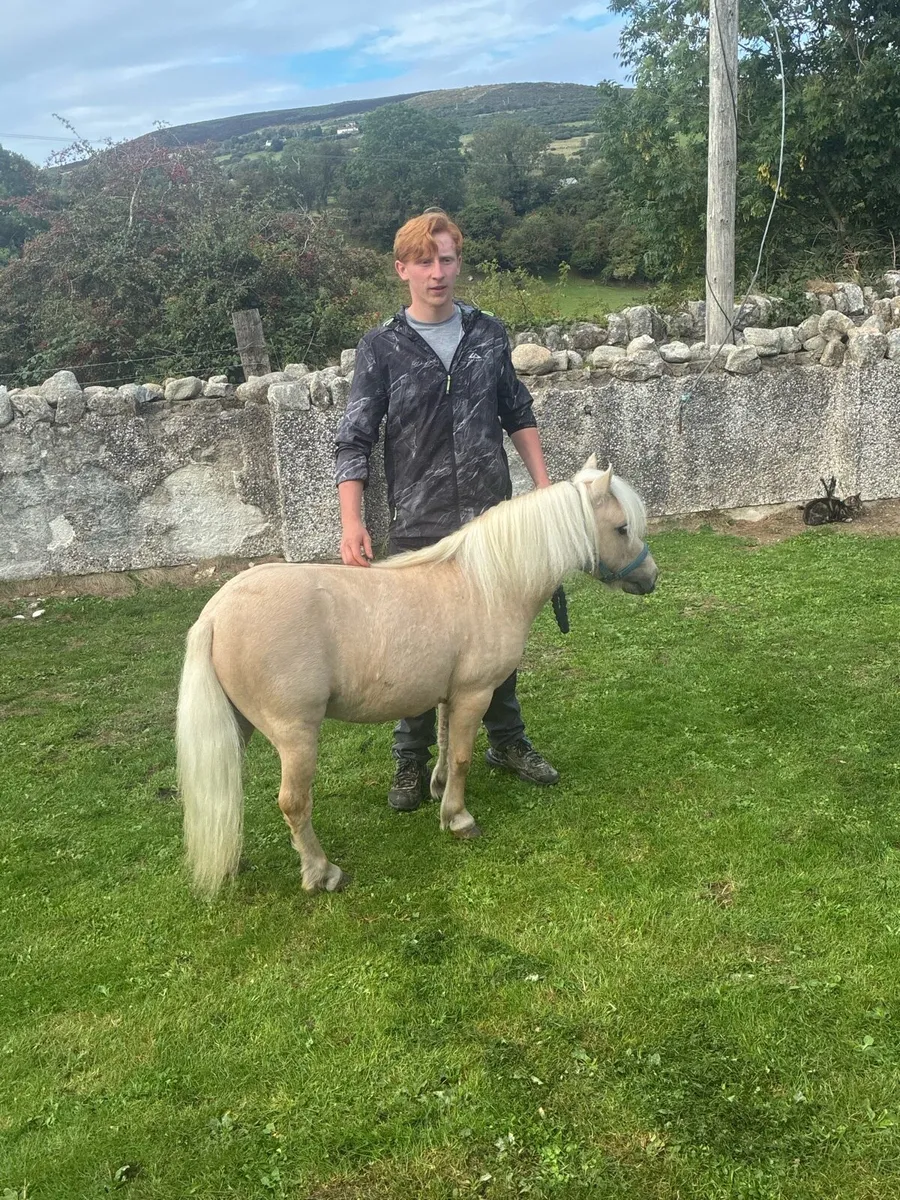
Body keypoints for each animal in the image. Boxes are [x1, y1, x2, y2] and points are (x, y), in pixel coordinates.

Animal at [176, 456, 658, 896]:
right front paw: (458, 818)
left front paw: (438, 790)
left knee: (226, 791)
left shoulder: (449, 694)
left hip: (238, 726)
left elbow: (444, 743)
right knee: (293, 803)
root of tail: (215, 613)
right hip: (296, 736)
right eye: (620, 528)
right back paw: (321, 872)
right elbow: (462, 756)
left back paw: (234, 859)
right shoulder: (475, 693)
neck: (488, 583)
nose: (651, 578)